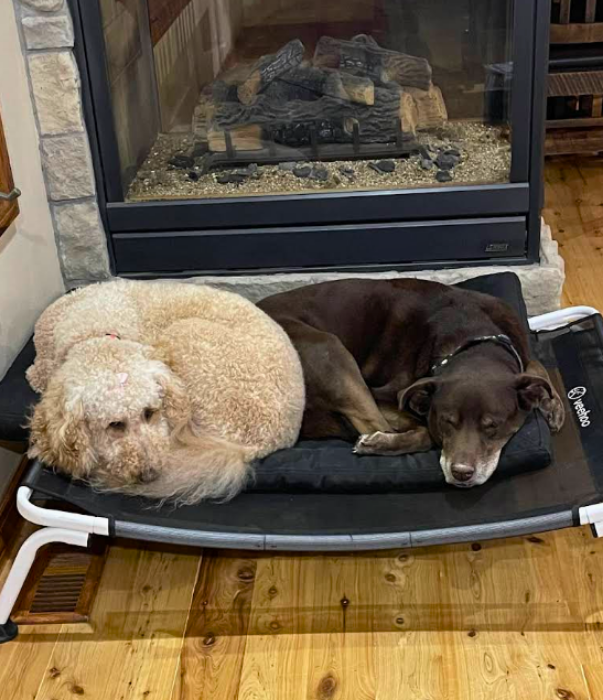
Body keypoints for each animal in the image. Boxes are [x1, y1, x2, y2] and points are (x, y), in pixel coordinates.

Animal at [27, 280, 305, 503]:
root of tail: (267, 443)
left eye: (150, 412)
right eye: (114, 425)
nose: (150, 474)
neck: (95, 329)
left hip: (185, 334)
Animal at [258, 278, 565, 488]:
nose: (461, 473)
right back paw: (377, 441)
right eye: (446, 421)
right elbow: (425, 429)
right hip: (329, 350)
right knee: (378, 425)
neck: (472, 339)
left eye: (493, 426)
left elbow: (535, 366)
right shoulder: (385, 394)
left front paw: (553, 405)